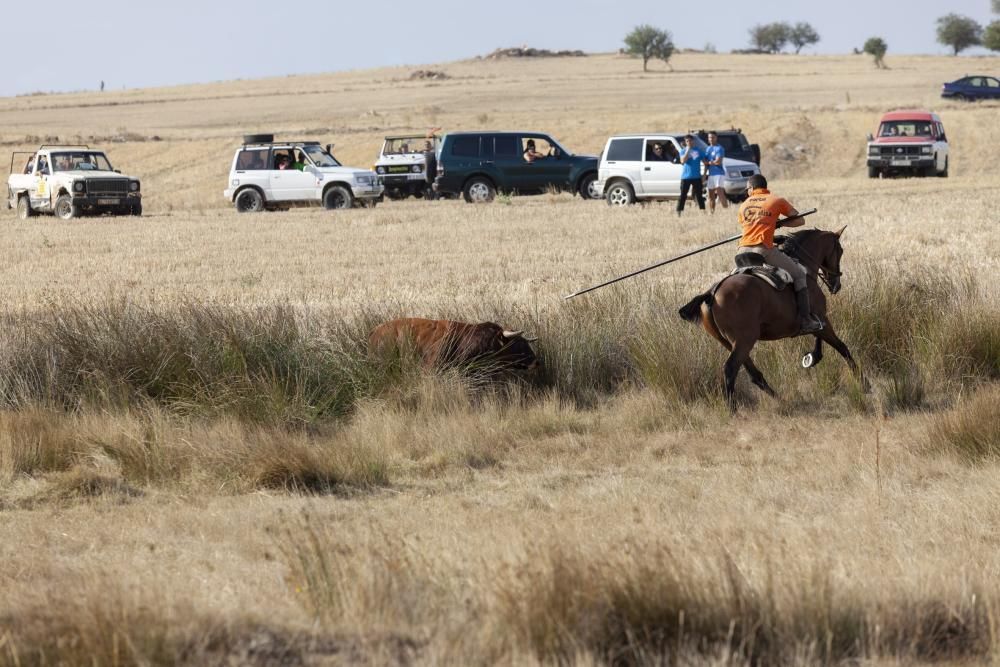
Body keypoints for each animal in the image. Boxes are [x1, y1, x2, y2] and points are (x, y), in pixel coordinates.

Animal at [680, 227, 860, 408]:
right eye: (840, 251)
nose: (836, 285)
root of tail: (712, 292)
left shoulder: (820, 321)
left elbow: (824, 341)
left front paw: (813, 358)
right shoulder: (822, 320)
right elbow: (842, 348)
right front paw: (861, 381)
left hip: (729, 343)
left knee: (754, 374)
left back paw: (781, 400)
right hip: (745, 339)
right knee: (730, 369)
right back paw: (733, 409)